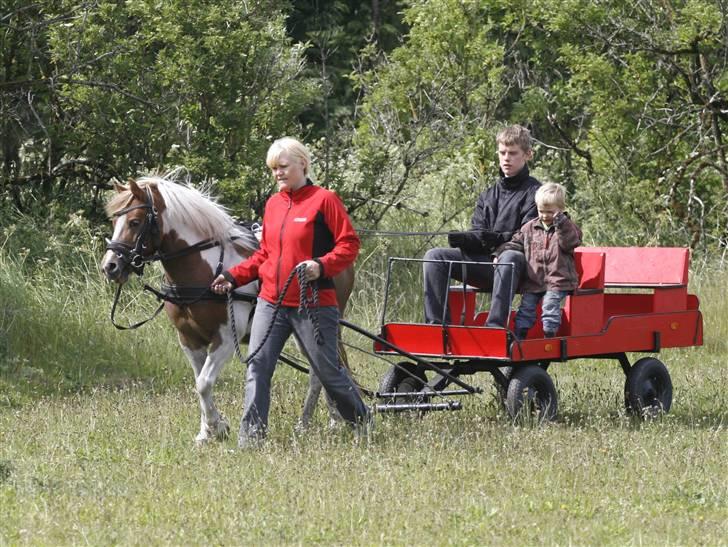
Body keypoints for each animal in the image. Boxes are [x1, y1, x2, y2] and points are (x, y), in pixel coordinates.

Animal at [101, 174, 354, 446]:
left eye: (135, 222)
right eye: (114, 220)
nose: (110, 266)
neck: (206, 269)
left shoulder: (224, 337)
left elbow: (204, 382)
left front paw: (217, 426)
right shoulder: (188, 339)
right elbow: (199, 381)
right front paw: (206, 431)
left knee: (323, 371)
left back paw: (311, 422)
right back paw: (328, 419)